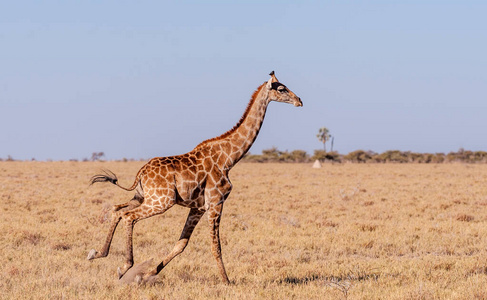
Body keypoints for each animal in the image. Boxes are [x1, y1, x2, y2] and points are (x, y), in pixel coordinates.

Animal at [86, 70, 304, 284]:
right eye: (282, 89)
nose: (299, 101)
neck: (228, 158)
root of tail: (141, 172)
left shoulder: (198, 207)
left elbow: (181, 244)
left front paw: (146, 275)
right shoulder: (216, 203)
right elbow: (216, 246)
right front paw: (227, 282)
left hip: (143, 197)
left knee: (117, 210)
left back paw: (98, 254)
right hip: (161, 201)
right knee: (129, 216)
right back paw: (124, 267)